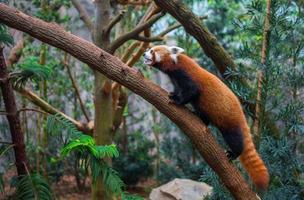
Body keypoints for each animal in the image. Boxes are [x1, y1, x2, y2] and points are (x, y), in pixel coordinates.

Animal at [144, 44, 270, 190]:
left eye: (152, 51)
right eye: (148, 50)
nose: (144, 54)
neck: (175, 64)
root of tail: (240, 112)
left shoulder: (185, 74)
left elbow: (193, 90)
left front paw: (176, 100)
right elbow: (180, 90)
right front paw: (174, 94)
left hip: (229, 121)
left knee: (235, 138)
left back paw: (234, 153)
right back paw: (199, 117)